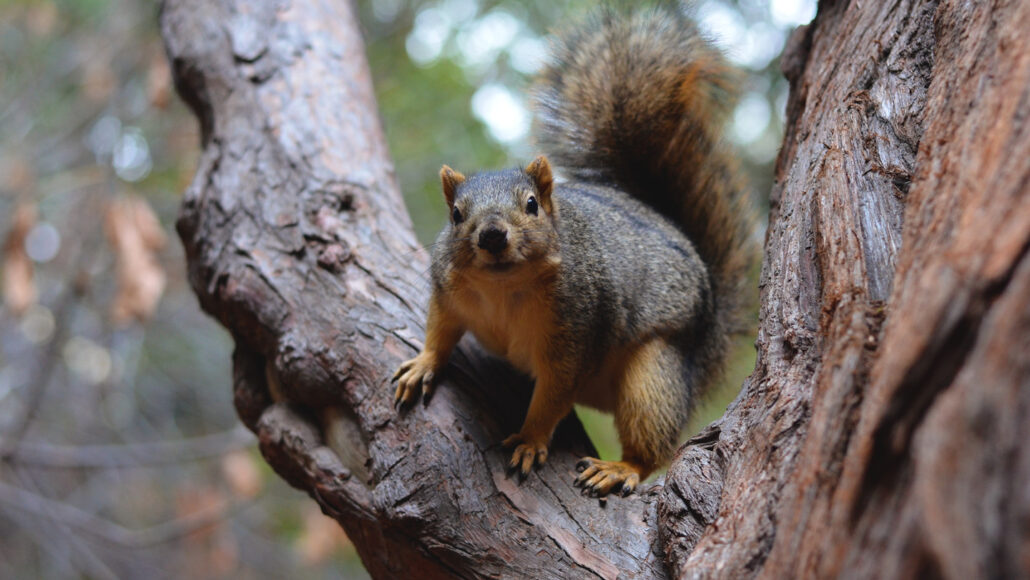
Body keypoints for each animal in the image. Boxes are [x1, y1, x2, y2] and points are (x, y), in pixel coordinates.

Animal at [393, 4, 758, 496]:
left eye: (532, 204)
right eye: (455, 214)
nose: (492, 236)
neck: (501, 288)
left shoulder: (579, 331)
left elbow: (553, 394)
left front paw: (530, 439)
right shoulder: (447, 292)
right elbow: (440, 329)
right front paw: (423, 363)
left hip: (654, 369)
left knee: (651, 439)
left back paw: (621, 467)